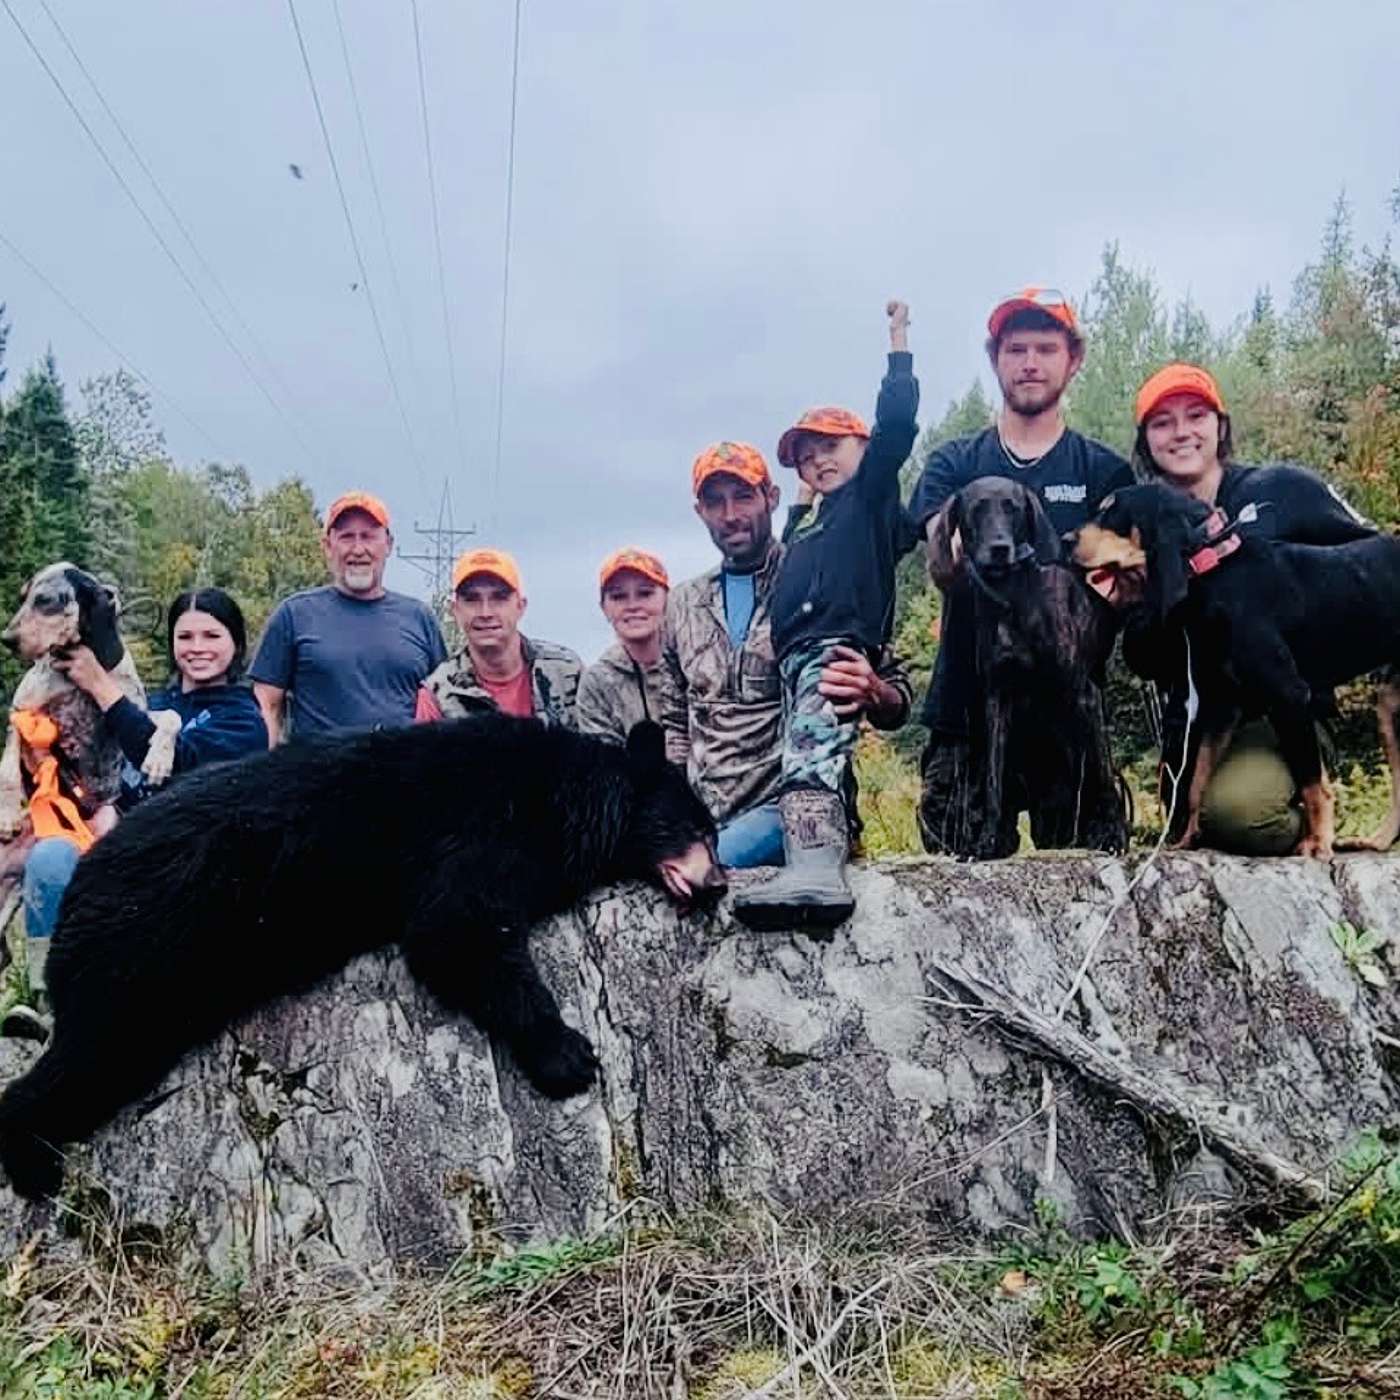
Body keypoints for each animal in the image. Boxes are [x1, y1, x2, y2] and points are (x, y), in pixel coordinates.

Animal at [0, 715, 725, 1200]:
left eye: (715, 832)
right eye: (696, 827)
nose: (719, 884)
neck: (557, 796)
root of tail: (72, 894)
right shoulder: (476, 830)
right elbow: (456, 932)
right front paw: (566, 1053)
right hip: (142, 955)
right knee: (92, 1055)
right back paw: (34, 1164)